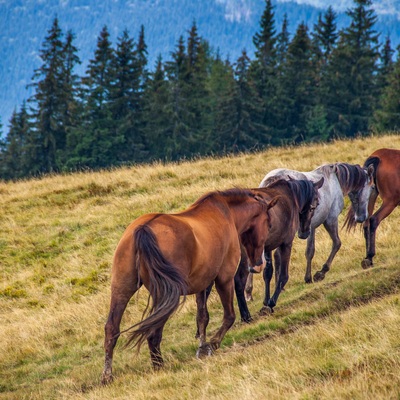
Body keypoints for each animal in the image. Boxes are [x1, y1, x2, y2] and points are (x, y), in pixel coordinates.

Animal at [101, 188, 280, 384]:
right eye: (269, 224)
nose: (258, 265)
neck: (227, 213)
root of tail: (143, 229)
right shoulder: (224, 278)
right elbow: (229, 316)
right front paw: (212, 344)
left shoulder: (203, 283)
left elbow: (202, 317)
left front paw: (202, 347)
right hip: (166, 294)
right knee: (154, 331)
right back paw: (158, 365)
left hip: (122, 289)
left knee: (112, 328)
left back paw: (108, 375)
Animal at [236, 177, 324, 320]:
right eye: (314, 205)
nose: (304, 232)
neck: (292, 196)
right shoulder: (286, 243)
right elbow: (283, 275)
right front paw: (271, 302)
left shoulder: (268, 247)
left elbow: (268, 273)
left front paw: (266, 302)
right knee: (239, 279)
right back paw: (245, 314)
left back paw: (245, 315)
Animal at [245, 162, 374, 300]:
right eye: (372, 187)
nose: (362, 217)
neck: (334, 179)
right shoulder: (328, 221)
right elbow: (329, 245)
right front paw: (316, 275)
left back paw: (250, 292)